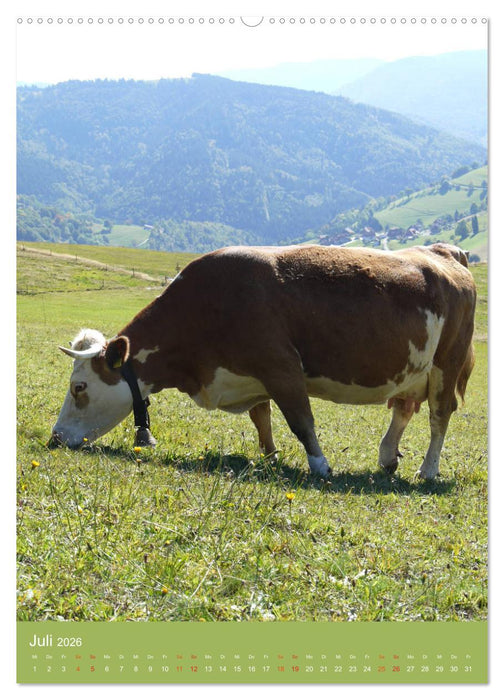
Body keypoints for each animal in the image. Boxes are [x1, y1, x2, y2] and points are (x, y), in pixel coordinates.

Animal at [49, 242, 476, 480]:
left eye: (79, 387)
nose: (54, 438)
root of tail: (442, 252)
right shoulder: (252, 375)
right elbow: (261, 417)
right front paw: (270, 456)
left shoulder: (281, 366)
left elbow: (301, 420)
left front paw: (320, 466)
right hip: (413, 369)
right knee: (403, 409)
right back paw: (387, 457)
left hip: (447, 364)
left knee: (439, 417)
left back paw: (428, 470)